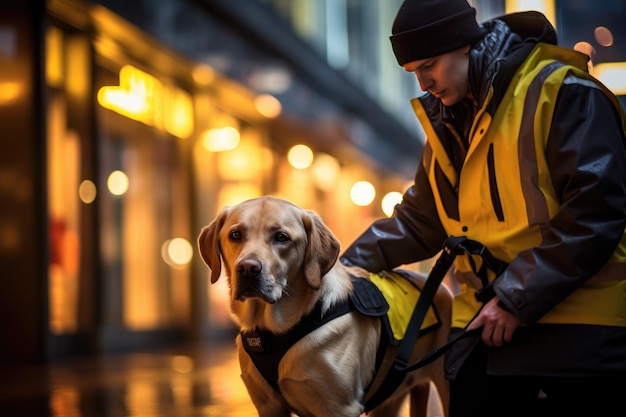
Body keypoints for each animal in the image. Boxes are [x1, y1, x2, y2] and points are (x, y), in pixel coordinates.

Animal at [197, 196, 450, 416]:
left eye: (282, 237)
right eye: (235, 234)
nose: (248, 268)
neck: (277, 330)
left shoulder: (339, 408)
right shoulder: (268, 406)